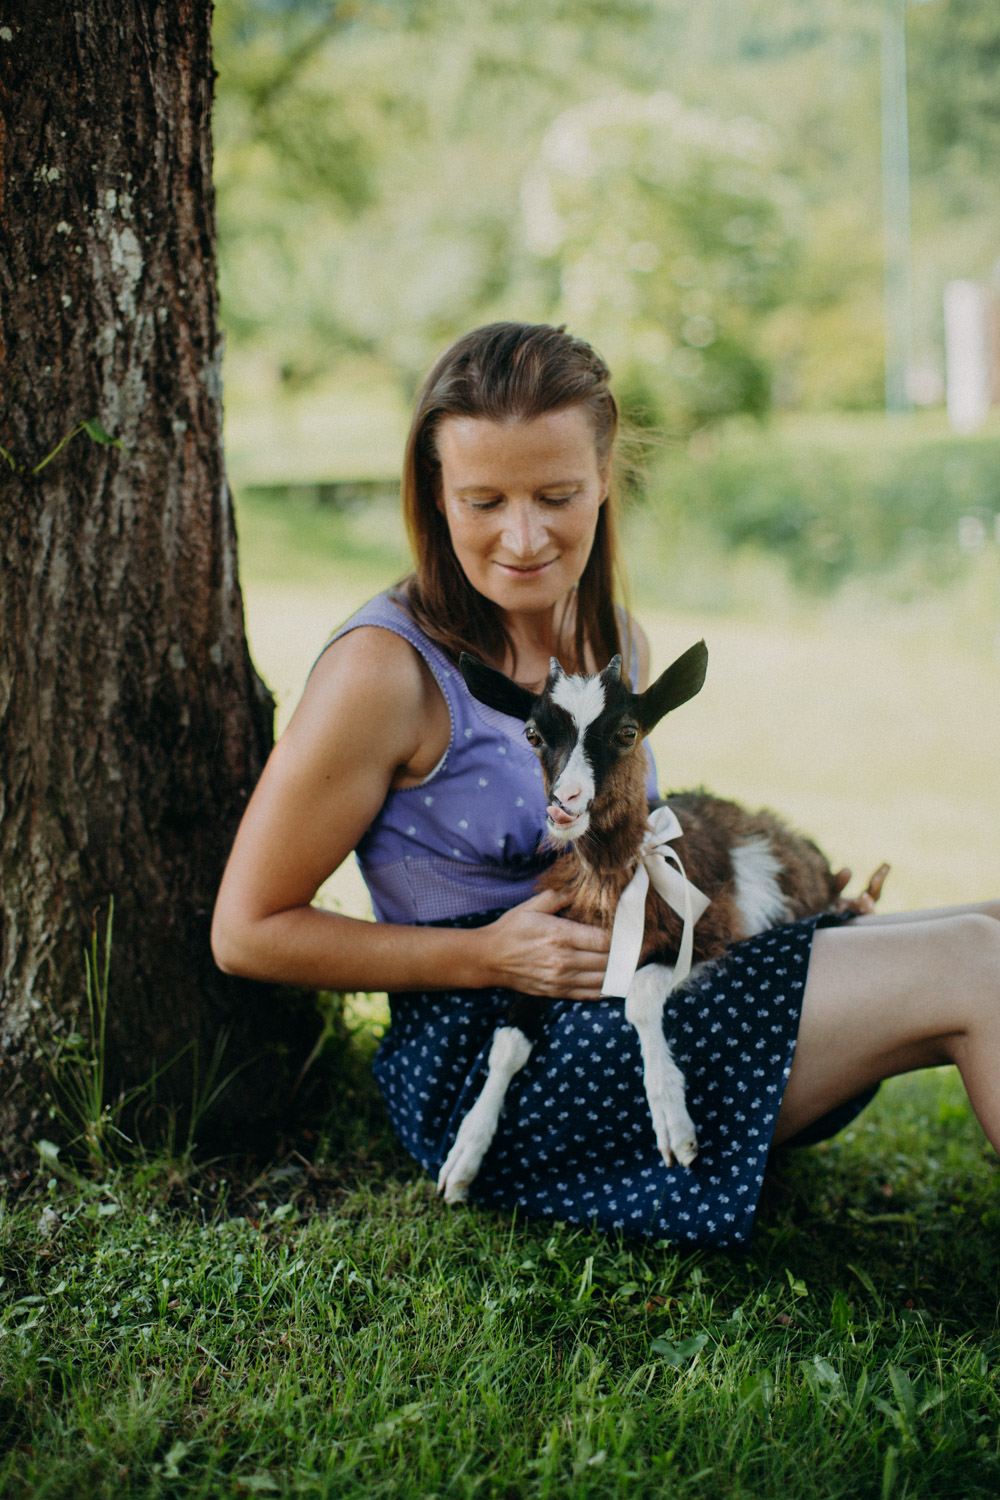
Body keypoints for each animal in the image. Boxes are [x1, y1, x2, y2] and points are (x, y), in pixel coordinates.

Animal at [437, 640, 883, 1205]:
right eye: (533, 735)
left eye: (628, 732)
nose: (565, 804)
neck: (623, 878)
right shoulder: (543, 955)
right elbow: (507, 1044)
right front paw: (463, 1156)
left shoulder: (705, 932)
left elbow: (641, 997)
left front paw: (674, 1123)